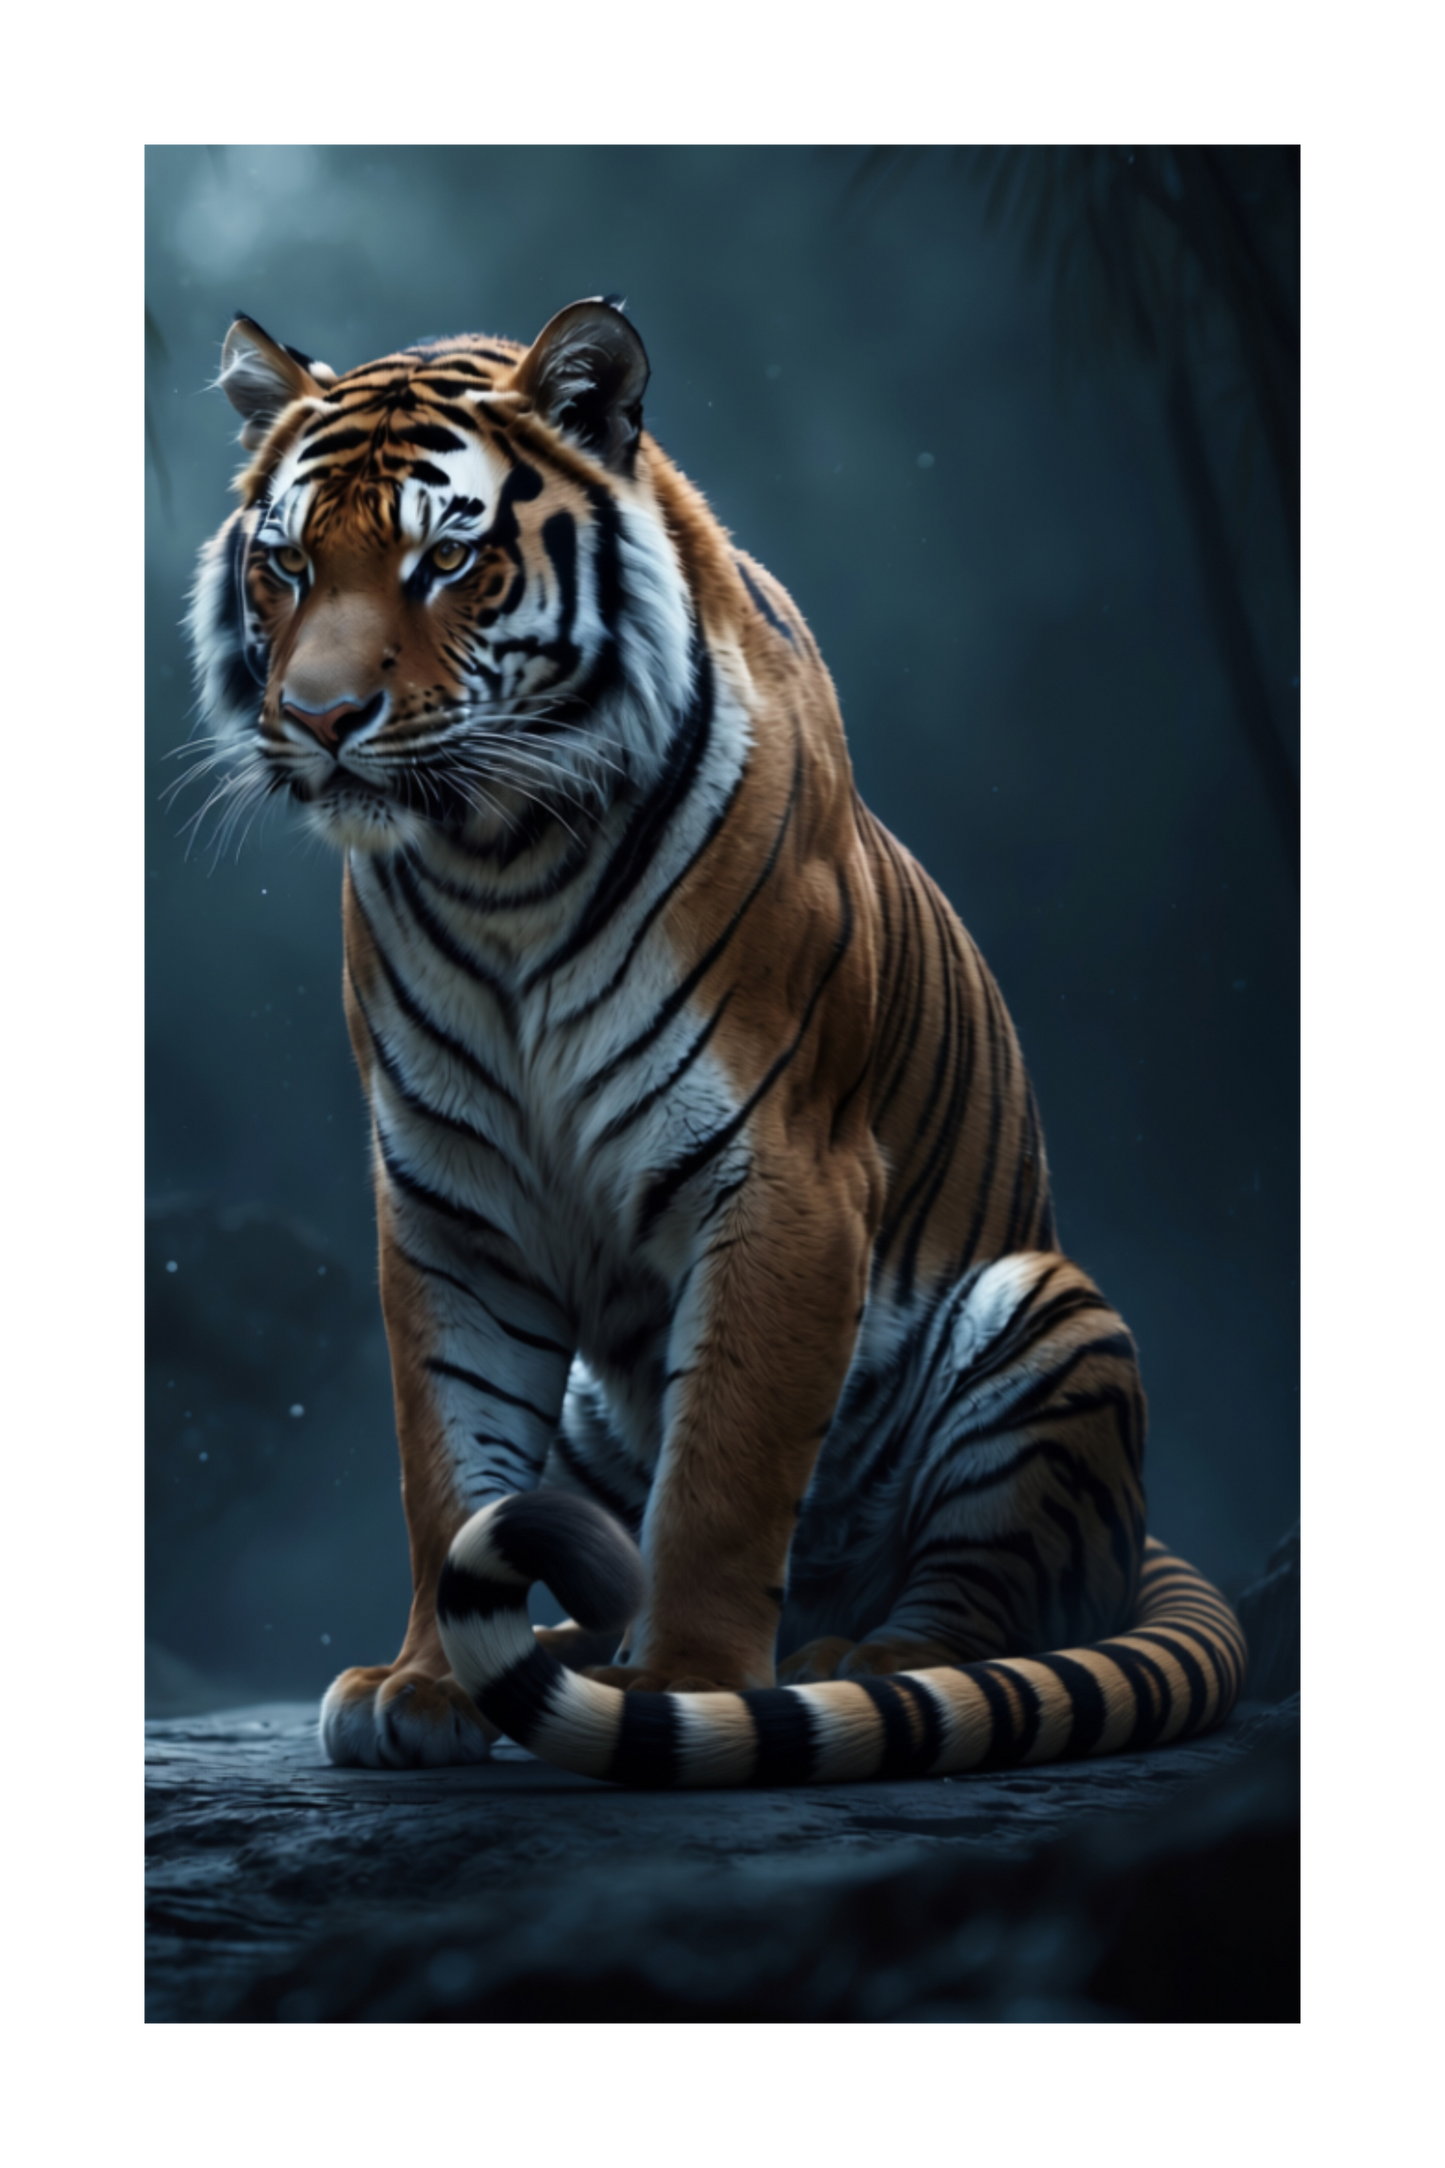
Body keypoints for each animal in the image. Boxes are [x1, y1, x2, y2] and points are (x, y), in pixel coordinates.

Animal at [185, 296, 1246, 1787]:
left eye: (445, 557)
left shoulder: (785, 1175)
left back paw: (856, 1660)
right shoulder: (450, 1206)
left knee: (985, 1606)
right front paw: (426, 1685)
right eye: (284, 565)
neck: (497, 862)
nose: (321, 722)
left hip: (1047, 1318)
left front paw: (684, 1687)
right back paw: (568, 1647)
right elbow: (449, 1455)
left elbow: (725, 1471)